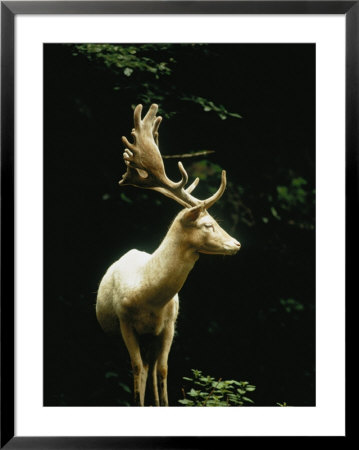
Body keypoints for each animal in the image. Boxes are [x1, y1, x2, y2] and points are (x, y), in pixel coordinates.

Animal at [96, 103, 242, 406]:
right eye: (208, 224)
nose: (236, 244)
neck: (148, 297)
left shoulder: (169, 326)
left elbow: (163, 370)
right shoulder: (125, 322)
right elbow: (136, 370)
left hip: (152, 338)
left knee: (152, 369)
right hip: (113, 334)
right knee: (137, 368)